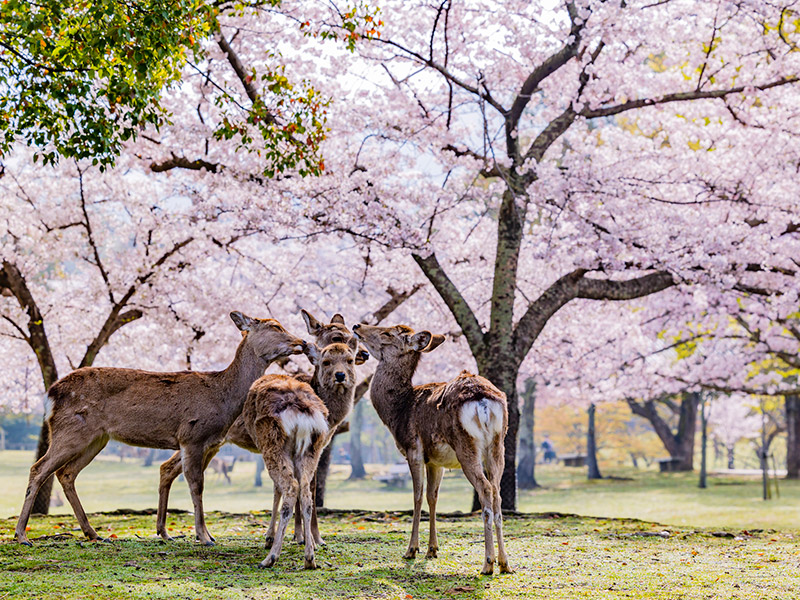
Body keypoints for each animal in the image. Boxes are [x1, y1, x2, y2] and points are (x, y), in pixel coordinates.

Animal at [14, 312, 304, 548]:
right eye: (275, 326)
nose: (301, 342)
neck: (222, 397)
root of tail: (50, 394)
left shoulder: (210, 442)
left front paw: (200, 534)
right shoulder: (192, 436)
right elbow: (196, 485)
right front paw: (204, 537)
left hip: (97, 438)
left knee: (66, 473)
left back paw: (94, 534)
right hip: (70, 430)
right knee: (39, 468)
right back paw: (22, 535)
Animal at [155, 310, 362, 544]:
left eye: (351, 338)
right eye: (336, 336)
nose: (364, 354)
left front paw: (303, 536)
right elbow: (307, 485)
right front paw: (308, 537)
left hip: (208, 444)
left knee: (168, 468)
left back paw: (165, 531)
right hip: (197, 439)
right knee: (173, 469)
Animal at [354, 324, 516, 576]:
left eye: (387, 333)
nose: (357, 326)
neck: (398, 412)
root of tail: (483, 402)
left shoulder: (413, 450)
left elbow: (417, 496)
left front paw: (411, 550)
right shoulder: (436, 461)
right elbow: (433, 497)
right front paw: (432, 549)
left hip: (466, 445)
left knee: (485, 489)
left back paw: (487, 563)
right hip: (498, 445)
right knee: (497, 492)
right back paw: (505, 563)